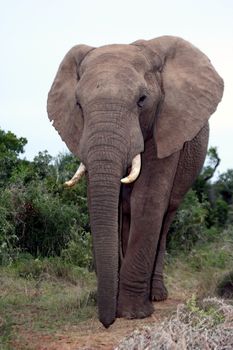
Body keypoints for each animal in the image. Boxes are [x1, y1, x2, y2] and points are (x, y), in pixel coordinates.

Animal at [46, 35, 223, 328]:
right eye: (78, 105)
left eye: (142, 100)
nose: (107, 322)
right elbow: (104, 203)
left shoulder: (167, 127)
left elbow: (147, 200)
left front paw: (131, 313)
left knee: (165, 220)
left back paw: (157, 295)